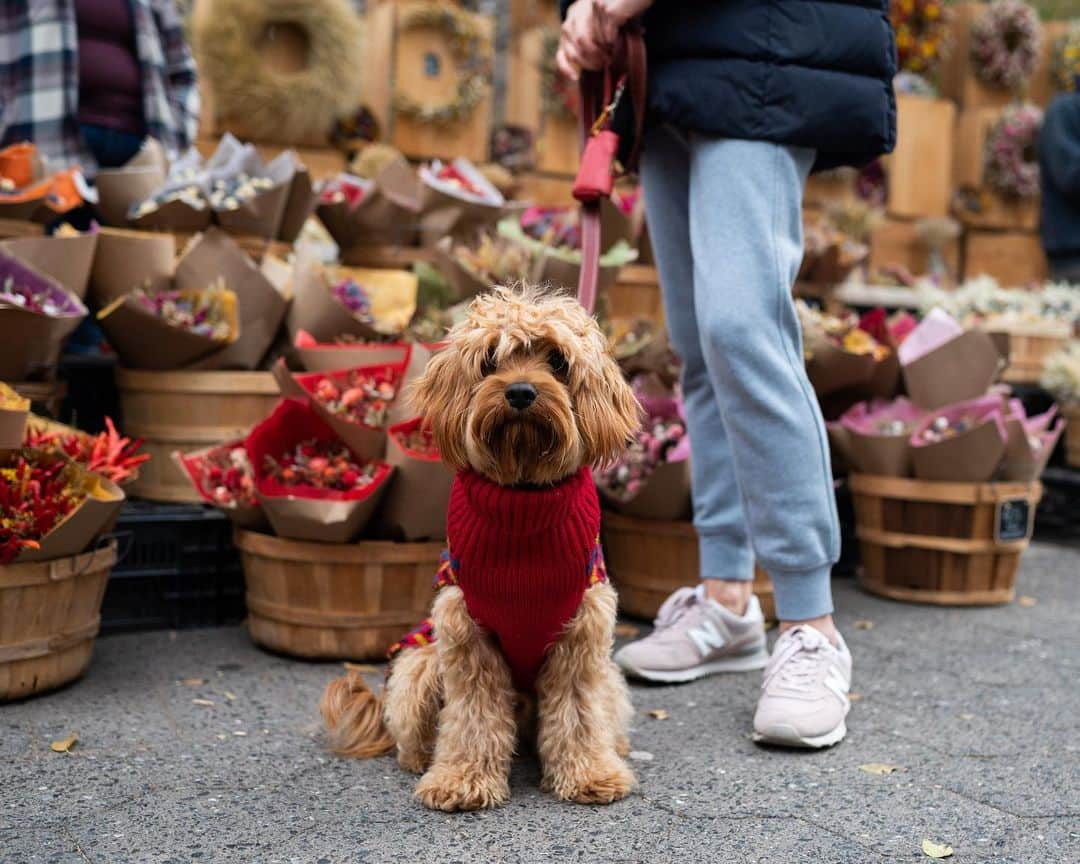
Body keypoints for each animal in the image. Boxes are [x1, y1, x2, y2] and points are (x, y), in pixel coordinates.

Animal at [319, 287, 639, 812]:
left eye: (557, 361)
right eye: (490, 361)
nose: (521, 392)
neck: (523, 506)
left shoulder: (581, 637)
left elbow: (578, 713)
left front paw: (589, 773)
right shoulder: (466, 634)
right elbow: (473, 717)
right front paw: (462, 779)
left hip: (607, 677)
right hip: (418, 667)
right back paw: (421, 759)